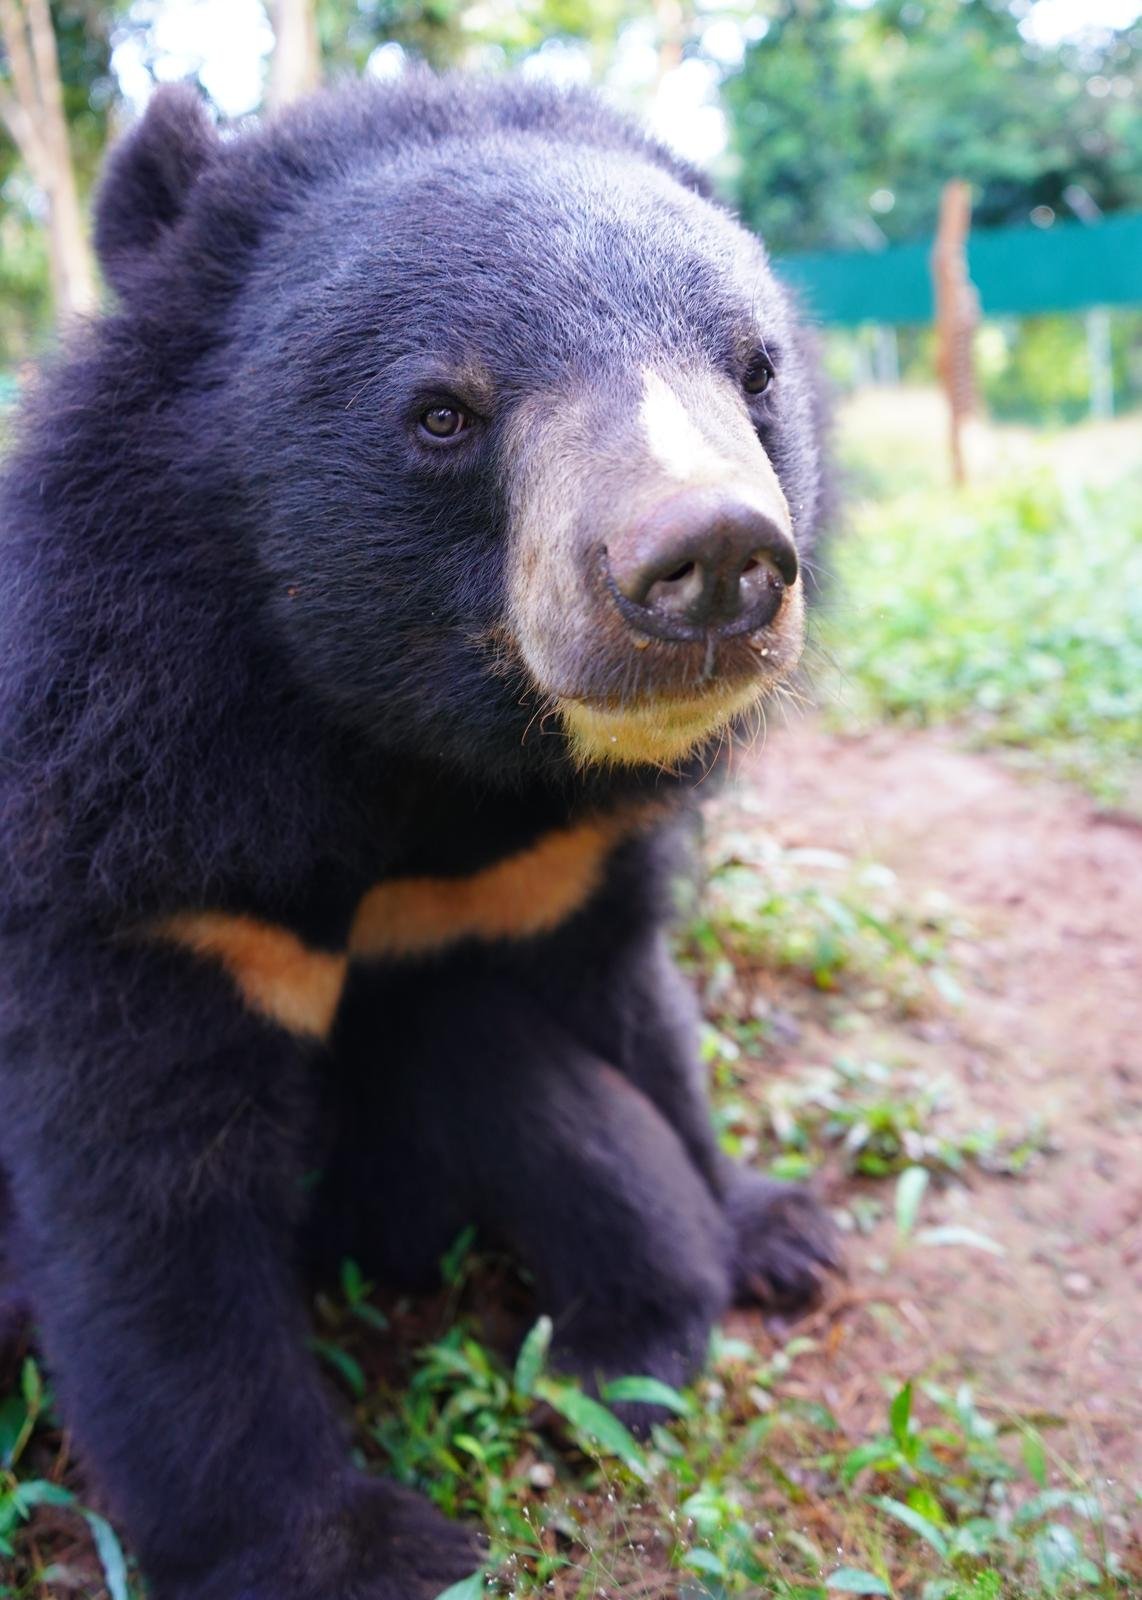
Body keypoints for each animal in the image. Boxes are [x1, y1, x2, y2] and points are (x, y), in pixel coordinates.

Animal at [0, 72, 838, 1600]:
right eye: (442, 413)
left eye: (751, 370)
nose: (712, 563)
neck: (420, 753)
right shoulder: (127, 855)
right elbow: (150, 1218)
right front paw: (352, 1549)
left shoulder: (555, 866)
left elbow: (630, 1018)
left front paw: (768, 1225)